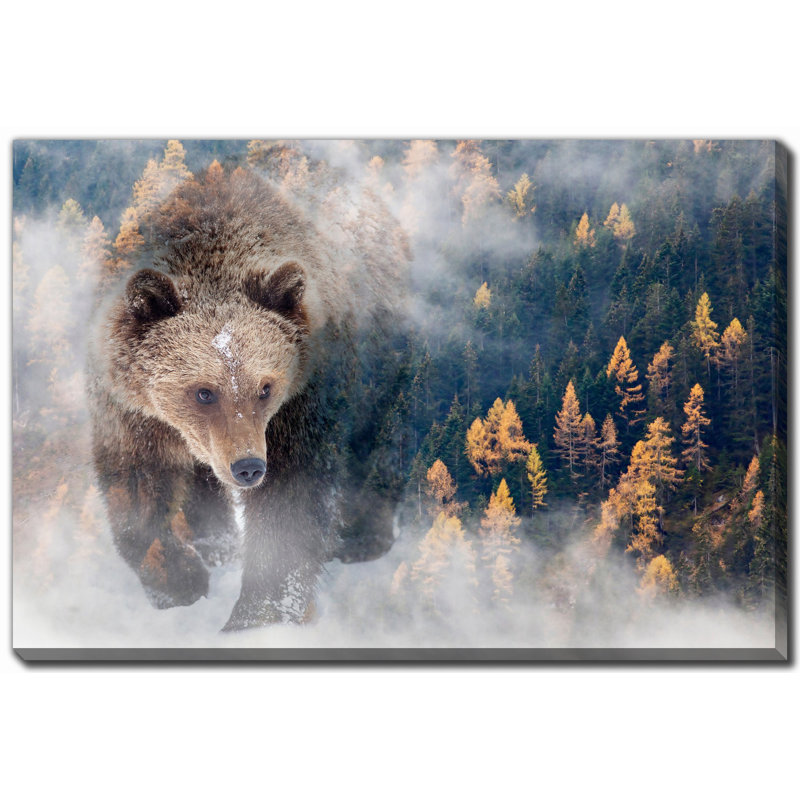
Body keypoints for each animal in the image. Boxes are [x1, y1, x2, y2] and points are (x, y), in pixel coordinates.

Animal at [87, 162, 411, 630]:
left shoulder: (299, 404)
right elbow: (136, 489)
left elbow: (289, 502)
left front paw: (259, 614)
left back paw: (363, 535)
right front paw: (179, 579)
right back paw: (215, 543)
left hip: (379, 352)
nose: (248, 467)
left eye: (265, 387)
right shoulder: (130, 410)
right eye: (204, 392)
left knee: (378, 435)